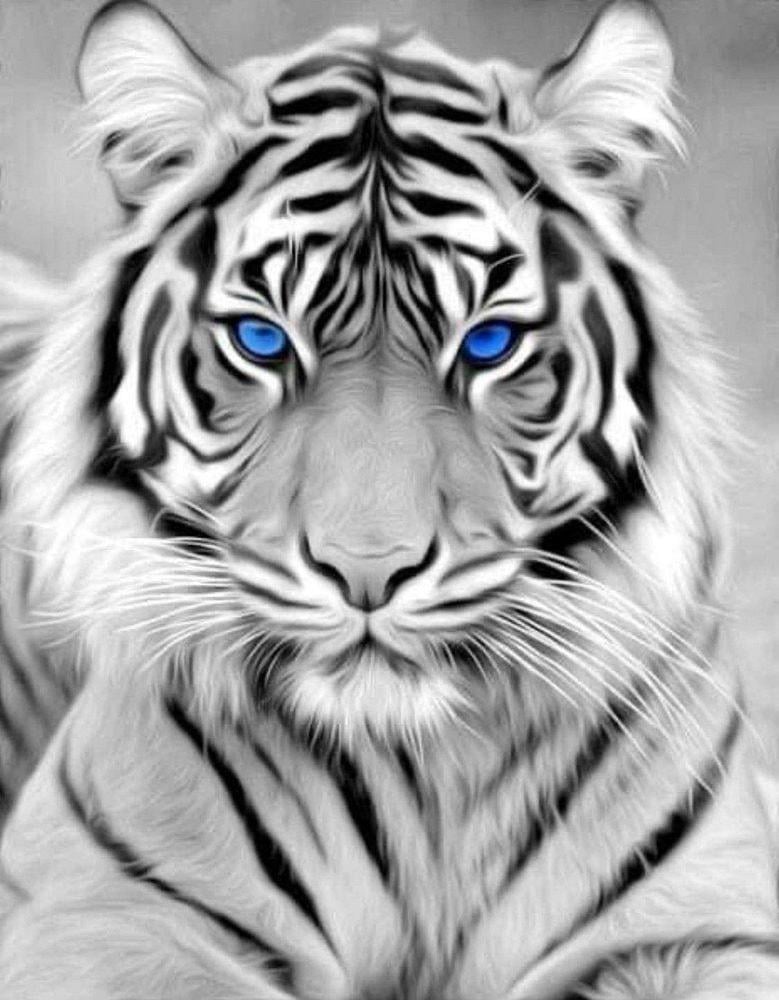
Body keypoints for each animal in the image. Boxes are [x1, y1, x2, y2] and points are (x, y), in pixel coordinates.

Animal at [0, 0, 778, 997]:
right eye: (262, 338)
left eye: (486, 344)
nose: (367, 573)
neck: (426, 776)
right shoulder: (98, 912)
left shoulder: (701, 922)